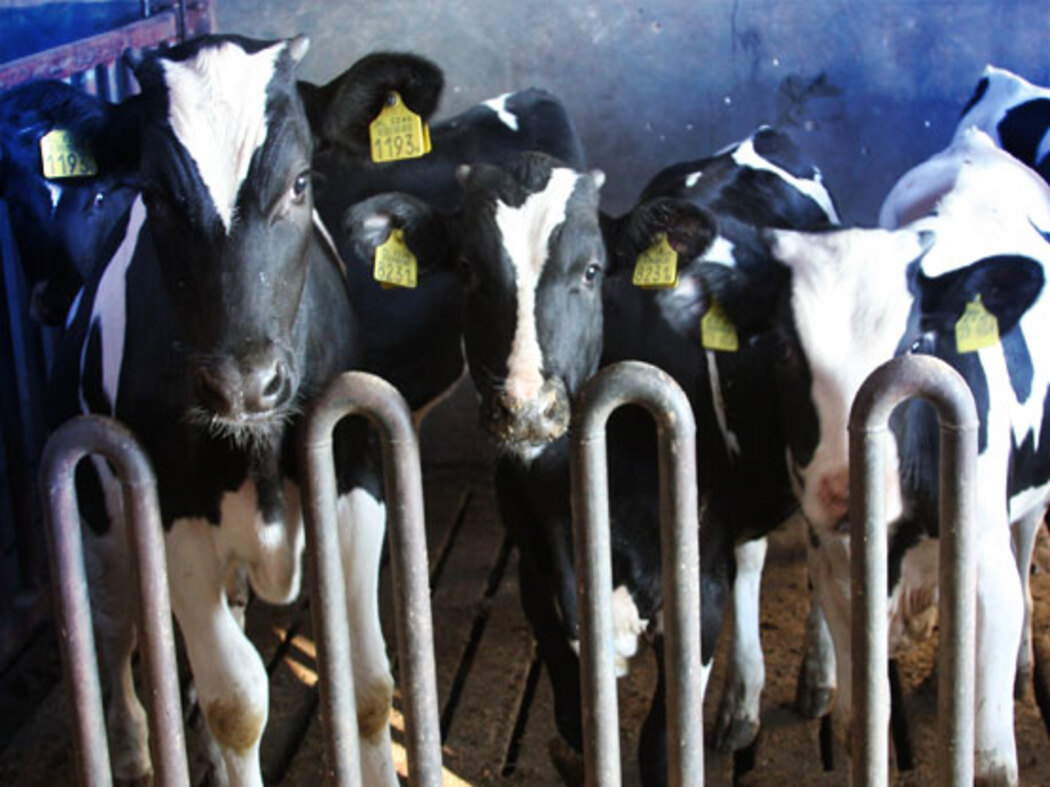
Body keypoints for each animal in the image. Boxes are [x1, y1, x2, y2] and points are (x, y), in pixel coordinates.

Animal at [46, 35, 443, 785]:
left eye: (300, 182)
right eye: (154, 195)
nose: (243, 383)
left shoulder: (354, 484)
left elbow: (370, 683)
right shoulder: (172, 515)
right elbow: (236, 700)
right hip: (98, 515)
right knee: (113, 630)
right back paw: (134, 749)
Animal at [345, 126, 842, 783]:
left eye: (591, 269)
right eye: (469, 270)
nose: (527, 409)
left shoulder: (698, 594)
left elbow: (661, 746)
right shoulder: (541, 587)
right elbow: (575, 730)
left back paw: (816, 678)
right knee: (754, 554)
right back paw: (740, 705)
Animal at [697, 127, 1050, 785]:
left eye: (914, 347)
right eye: (784, 348)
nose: (845, 490)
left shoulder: (987, 573)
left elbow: (991, 759)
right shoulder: (839, 571)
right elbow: (863, 722)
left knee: (1025, 544)